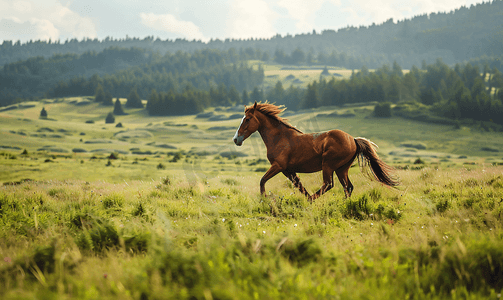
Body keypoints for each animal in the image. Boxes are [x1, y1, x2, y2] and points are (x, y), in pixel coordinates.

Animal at [233, 101, 402, 202]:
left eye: (247, 119)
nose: (236, 139)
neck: (280, 138)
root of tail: (353, 139)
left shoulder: (278, 166)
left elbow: (262, 181)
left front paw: (264, 200)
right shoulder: (288, 170)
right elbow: (299, 186)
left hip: (328, 165)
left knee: (329, 184)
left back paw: (315, 200)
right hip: (341, 169)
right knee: (348, 187)